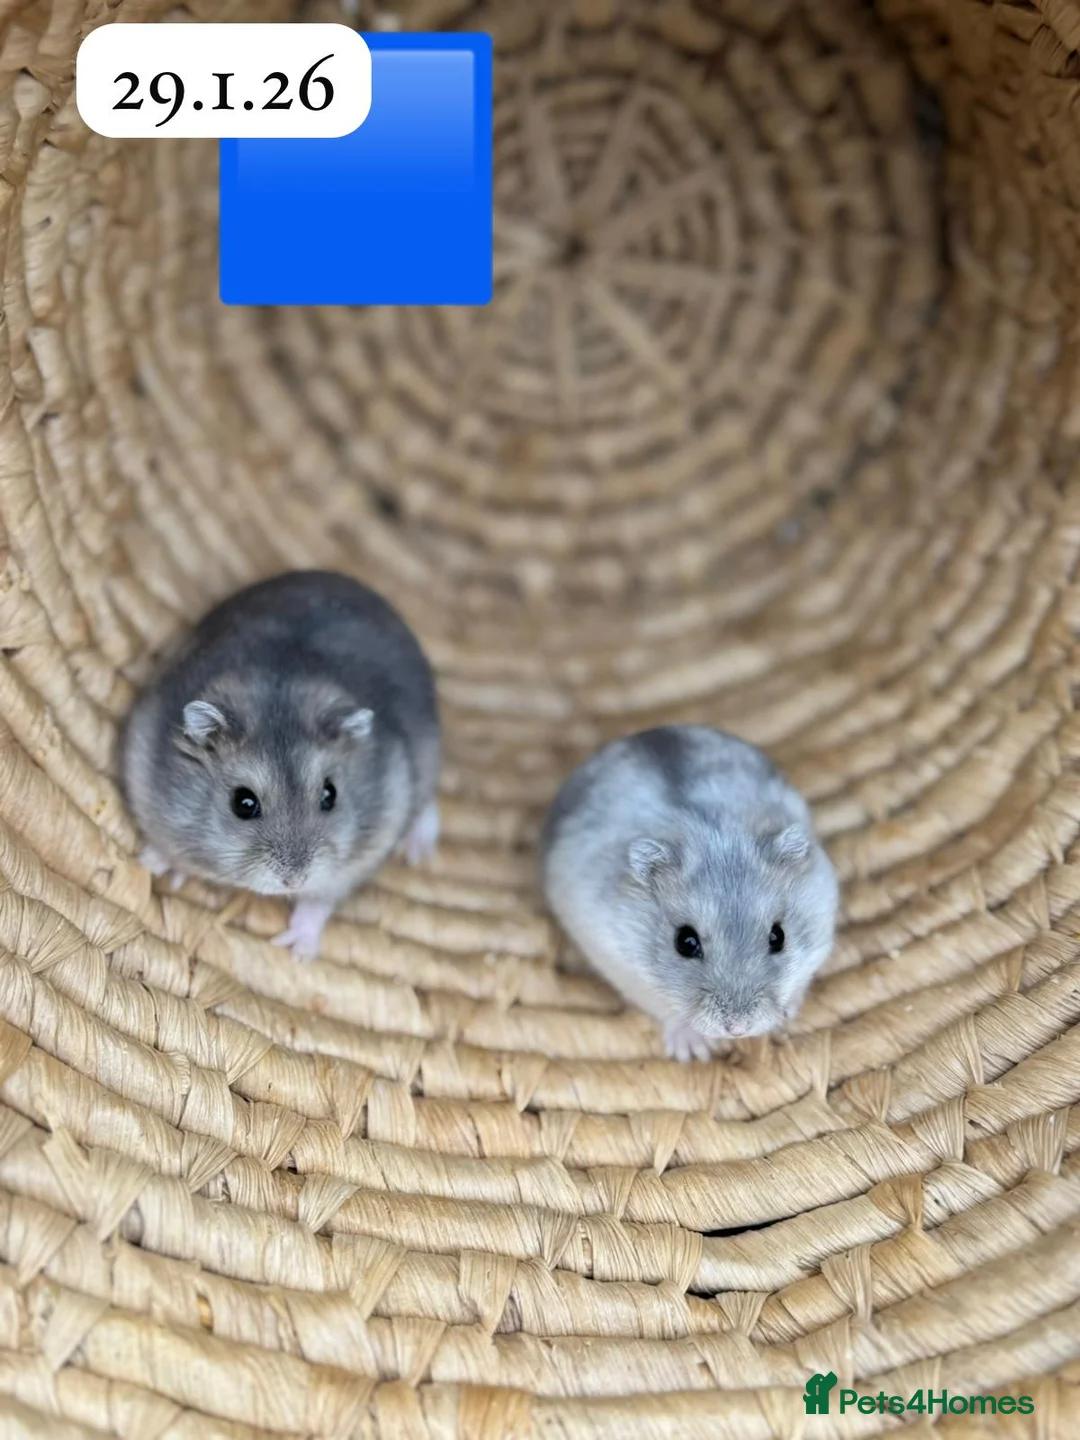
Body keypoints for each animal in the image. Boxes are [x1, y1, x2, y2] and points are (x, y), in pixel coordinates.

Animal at [122, 569, 441, 959]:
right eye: (243, 804)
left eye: (330, 795)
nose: (294, 880)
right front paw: (152, 865)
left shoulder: (358, 857)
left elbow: (319, 902)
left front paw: (295, 951)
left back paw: (417, 854)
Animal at [540, 725, 838, 1061]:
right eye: (685, 942)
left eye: (779, 937)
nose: (737, 1028)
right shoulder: (618, 961)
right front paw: (696, 1052)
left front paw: (790, 1012)